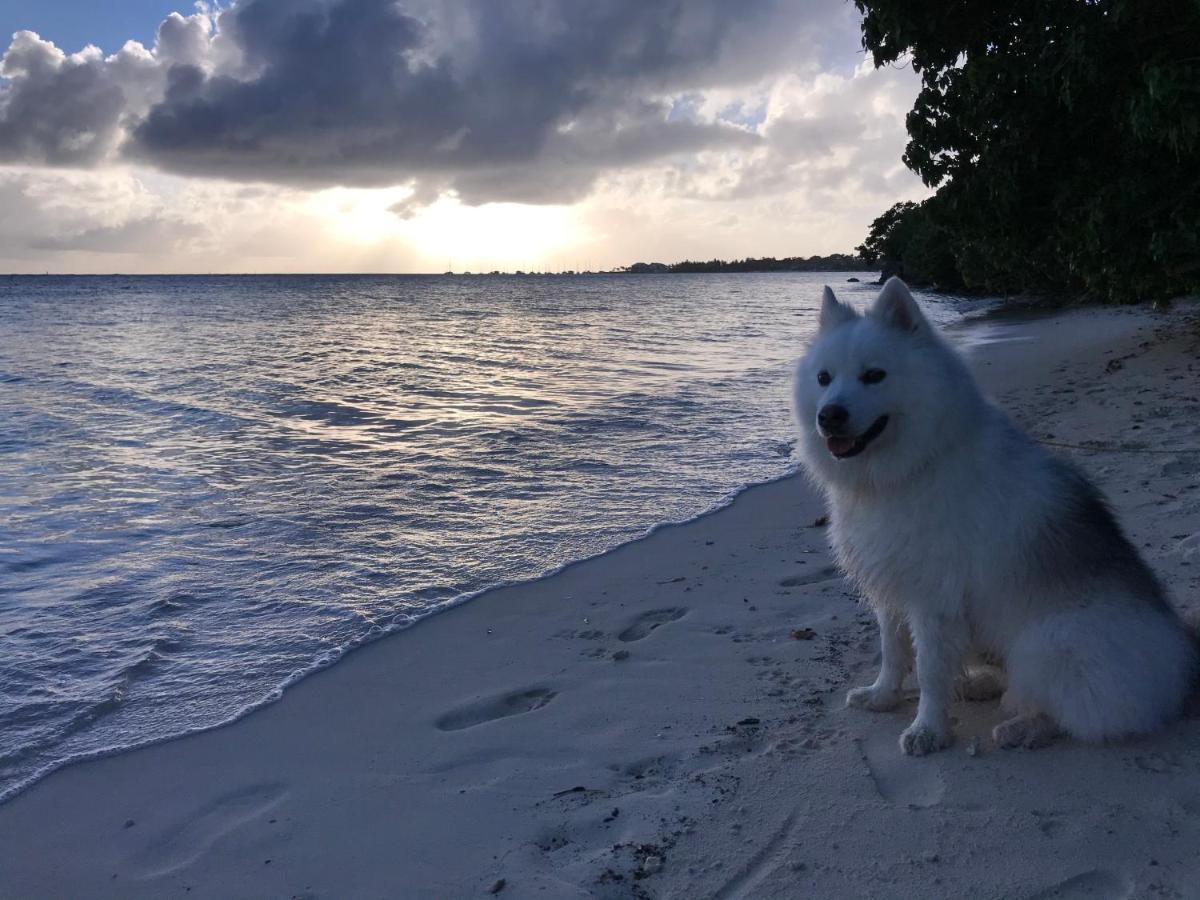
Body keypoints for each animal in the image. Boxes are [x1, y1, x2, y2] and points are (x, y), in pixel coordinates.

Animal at [792, 277, 1195, 753]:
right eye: (824, 378)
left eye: (874, 375)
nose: (829, 415)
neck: (908, 470)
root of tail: (1185, 662)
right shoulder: (890, 586)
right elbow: (893, 652)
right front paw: (883, 697)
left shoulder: (933, 599)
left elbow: (928, 669)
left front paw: (928, 729)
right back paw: (980, 686)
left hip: (1050, 643)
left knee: (1070, 712)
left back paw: (1021, 729)